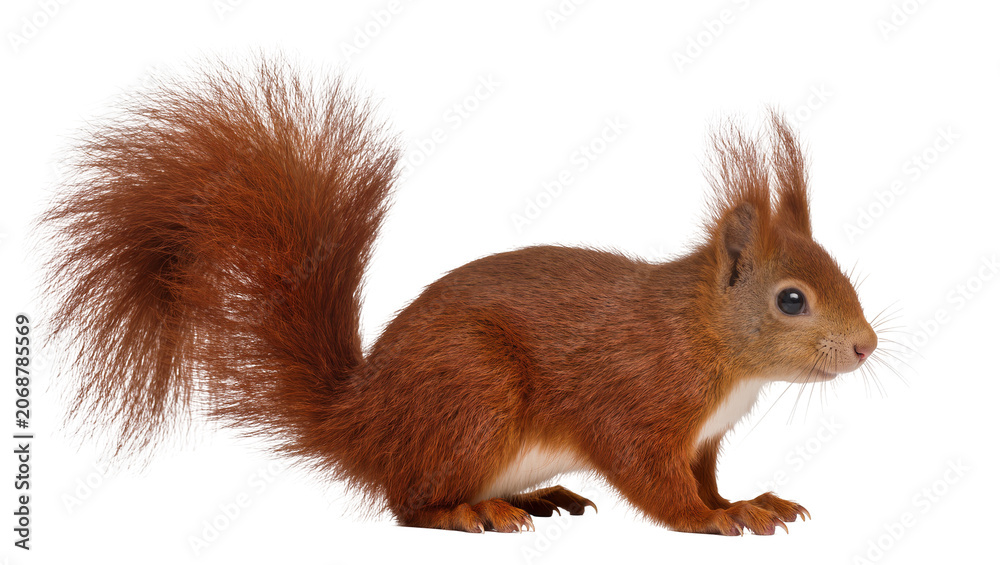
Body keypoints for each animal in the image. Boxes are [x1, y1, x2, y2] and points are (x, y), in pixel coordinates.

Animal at [41, 57, 878, 536]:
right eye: (792, 300)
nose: (867, 345)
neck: (707, 337)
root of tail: (361, 422)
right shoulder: (637, 399)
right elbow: (655, 479)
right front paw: (713, 520)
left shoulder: (703, 436)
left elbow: (703, 474)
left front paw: (747, 500)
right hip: (473, 396)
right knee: (408, 505)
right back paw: (474, 510)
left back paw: (537, 498)